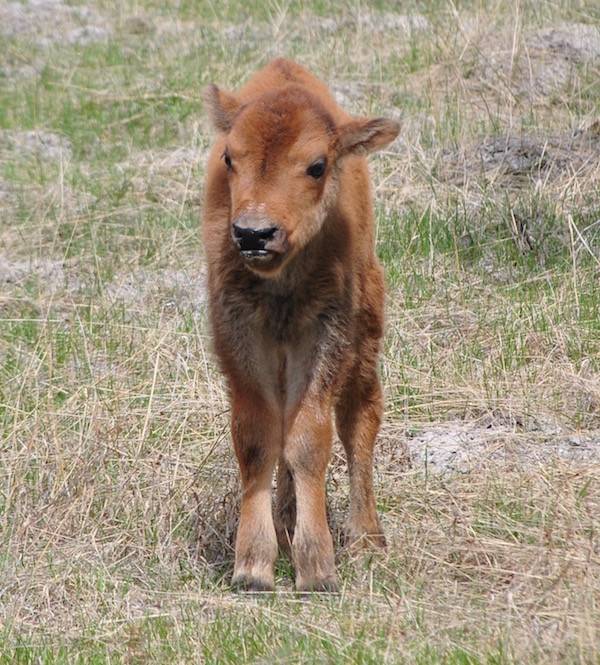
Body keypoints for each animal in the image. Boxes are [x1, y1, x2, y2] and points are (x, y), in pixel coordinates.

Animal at [202, 58, 399, 592]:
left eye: (316, 165)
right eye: (229, 157)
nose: (253, 233)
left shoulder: (327, 332)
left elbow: (309, 439)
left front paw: (317, 569)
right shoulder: (238, 332)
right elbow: (258, 437)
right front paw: (253, 567)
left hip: (364, 336)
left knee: (359, 420)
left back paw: (366, 540)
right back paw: (287, 524)